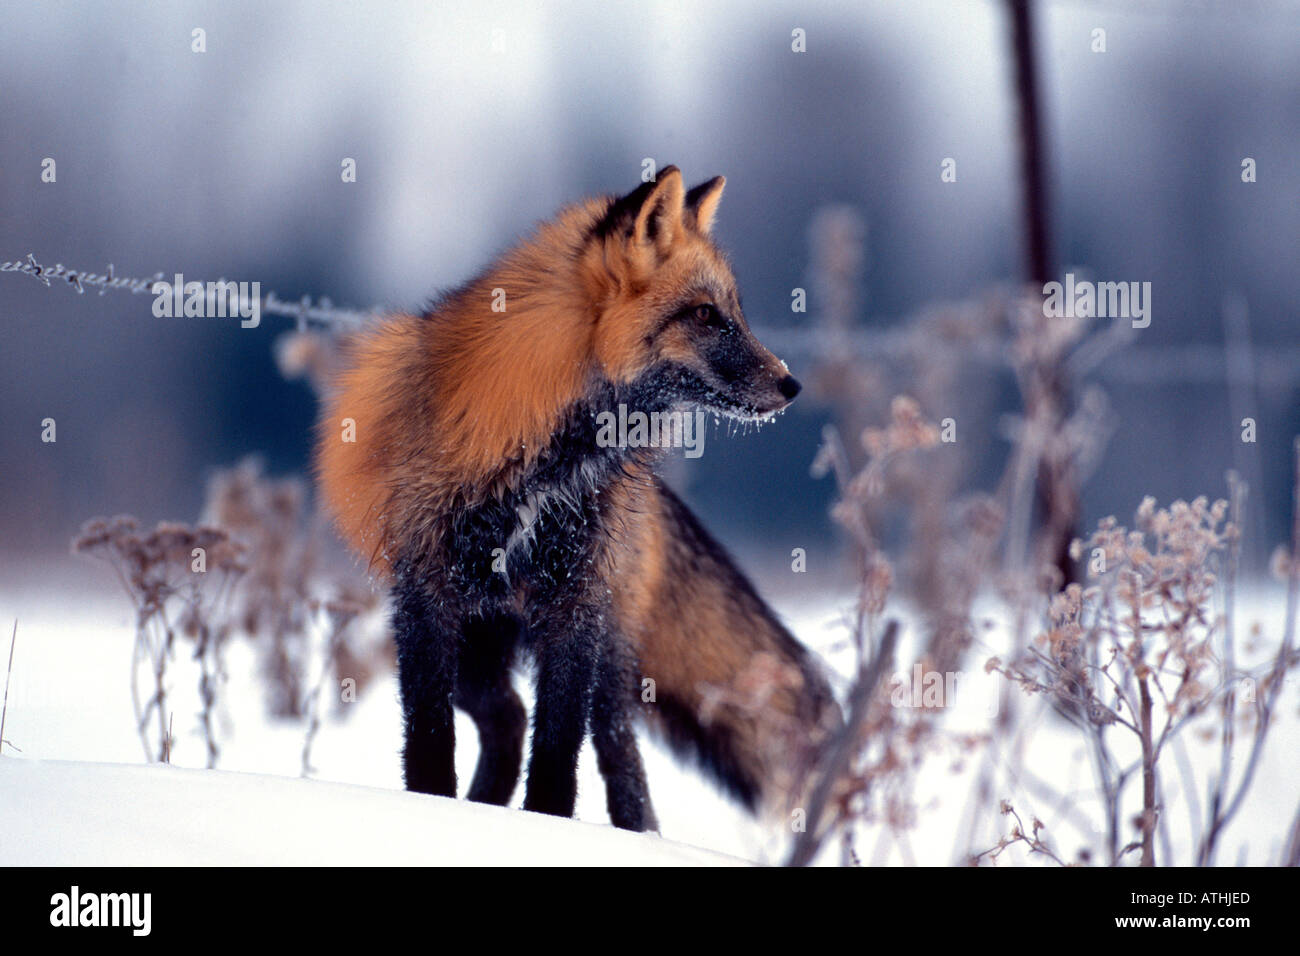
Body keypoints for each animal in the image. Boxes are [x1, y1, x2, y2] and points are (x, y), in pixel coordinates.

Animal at [317, 166, 842, 832]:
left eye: (735, 313)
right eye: (705, 315)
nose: (791, 384)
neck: (546, 464)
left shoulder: (577, 600)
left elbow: (559, 747)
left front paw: (547, 825)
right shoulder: (426, 595)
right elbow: (431, 737)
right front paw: (433, 810)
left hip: (600, 656)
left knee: (610, 749)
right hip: (475, 647)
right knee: (507, 716)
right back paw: (484, 807)